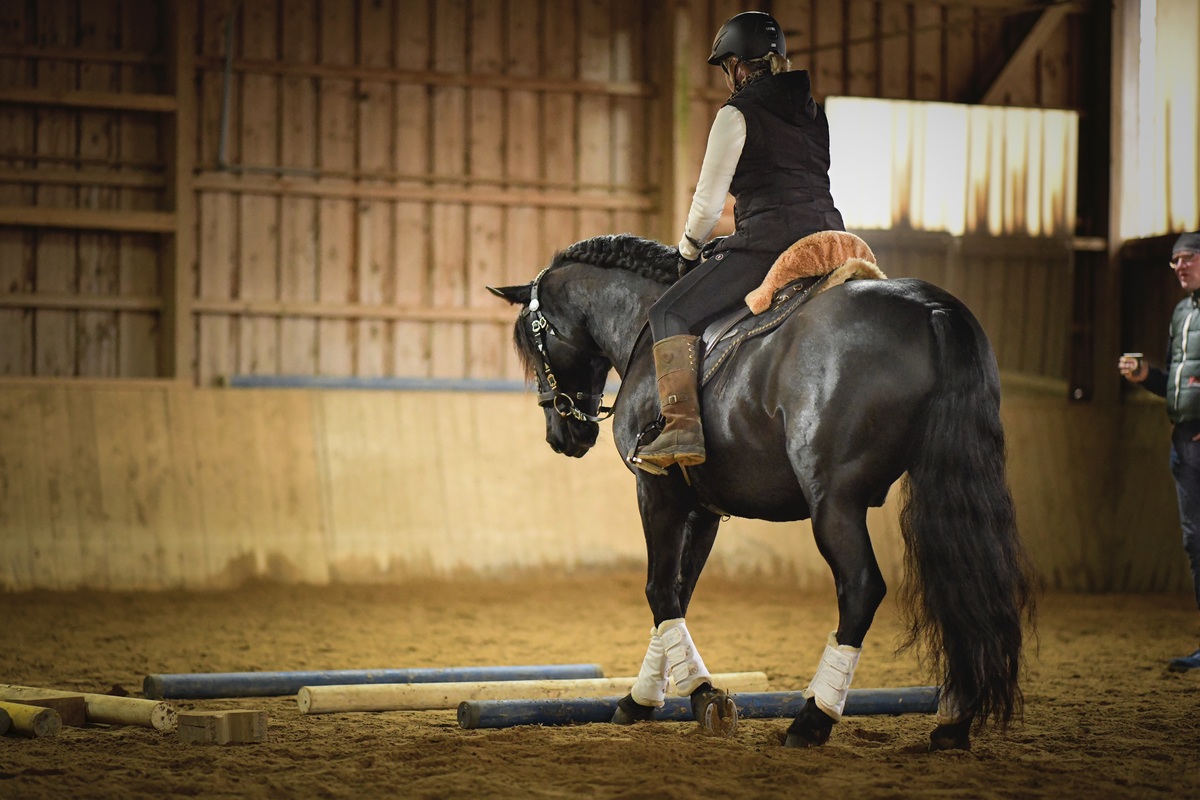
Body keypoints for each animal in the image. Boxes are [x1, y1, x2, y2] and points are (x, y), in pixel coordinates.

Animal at [487, 231, 1032, 753]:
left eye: (533, 341)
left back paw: (813, 719)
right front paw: (644, 697)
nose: (564, 435)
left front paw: (701, 696)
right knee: (961, 583)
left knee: (861, 588)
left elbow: (659, 591)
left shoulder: (656, 489)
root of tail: (932, 309)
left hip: (834, 502)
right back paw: (953, 723)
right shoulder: (702, 510)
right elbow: (679, 594)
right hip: (940, 486)